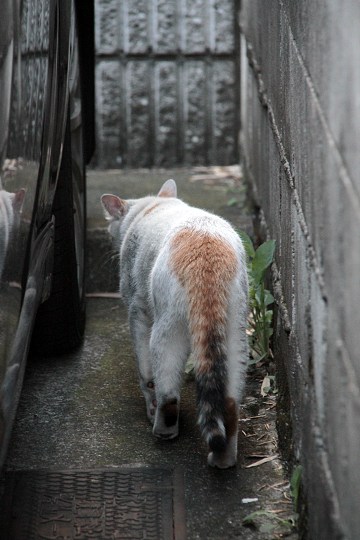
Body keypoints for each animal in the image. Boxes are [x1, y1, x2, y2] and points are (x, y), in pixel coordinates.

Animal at [101, 179, 248, 466]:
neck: (152, 206)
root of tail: (208, 251)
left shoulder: (137, 310)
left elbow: (145, 372)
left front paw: (149, 407)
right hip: (235, 333)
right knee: (230, 403)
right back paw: (223, 460)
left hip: (167, 328)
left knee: (168, 392)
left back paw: (163, 430)